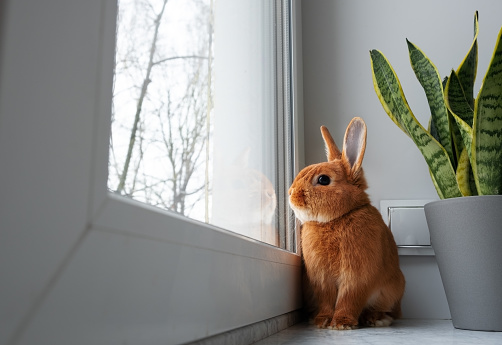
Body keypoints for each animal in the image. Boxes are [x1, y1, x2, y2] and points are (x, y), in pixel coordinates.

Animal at [290, 117, 404, 330]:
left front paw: (342, 324)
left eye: (323, 179)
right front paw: (321, 321)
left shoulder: (357, 277)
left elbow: (349, 300)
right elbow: (326, 300)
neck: (337, 218)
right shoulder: (320, 279)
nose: (291, 194)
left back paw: (376, 319)